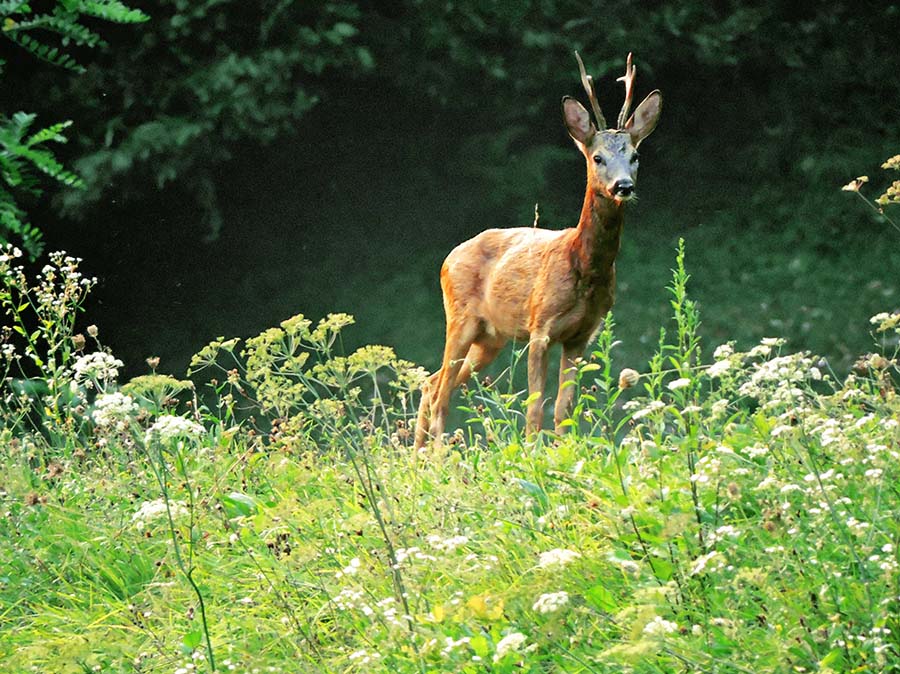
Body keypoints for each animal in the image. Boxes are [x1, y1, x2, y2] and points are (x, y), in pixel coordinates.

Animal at [414, 52, 660, 446]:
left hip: (490, 338)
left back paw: (418, 453)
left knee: (432, 383)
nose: (623, 186)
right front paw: (531, 455)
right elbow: (534, 408)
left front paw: (564, 453)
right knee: (440, 395)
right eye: (598, 158)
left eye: (635, 155)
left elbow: (563, 409)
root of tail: (448, 258)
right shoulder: (539, 327)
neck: (584, 269)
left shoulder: (580, 335)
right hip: (460, 319)